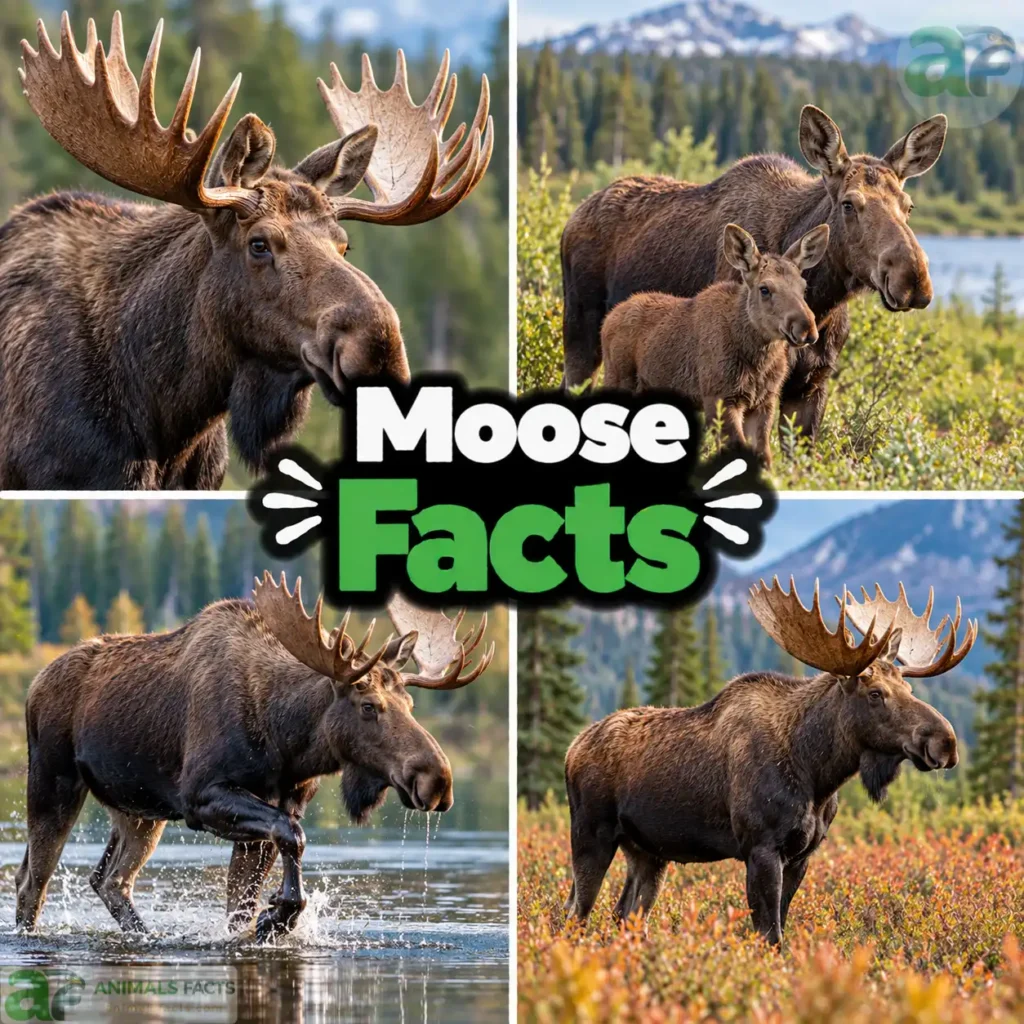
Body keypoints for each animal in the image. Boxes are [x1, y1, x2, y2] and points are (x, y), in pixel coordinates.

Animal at [15, 573, 494, 942]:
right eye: (369, 705)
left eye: (410, 705)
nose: (437, 779)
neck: (287, 742)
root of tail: (33, 684)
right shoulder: (201, 796)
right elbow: (293, 838)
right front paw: (278, 914)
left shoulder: (283, 802)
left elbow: (245, 900)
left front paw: (267, 920)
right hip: (53, 779)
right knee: (32, 881)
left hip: (137, 809)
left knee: (110, 880)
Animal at [564, 578, 974, 945]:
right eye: (875, 693)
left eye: (908, 687)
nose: (946, 741)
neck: (818, 775)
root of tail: (572, 748)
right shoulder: (761, 847)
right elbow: (770, 935)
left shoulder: (803, 854)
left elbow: (781, 928)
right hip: (591, 833)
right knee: (575, 912)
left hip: (648, 852)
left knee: (624, 914)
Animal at [600, 222, 829, 467]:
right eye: (765, 289)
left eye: (803, 288)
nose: (807, 329)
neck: (757, 358)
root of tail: (607, 321)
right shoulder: (719, 397)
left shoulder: (763, 401)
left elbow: (764, 455)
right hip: (618, 378)